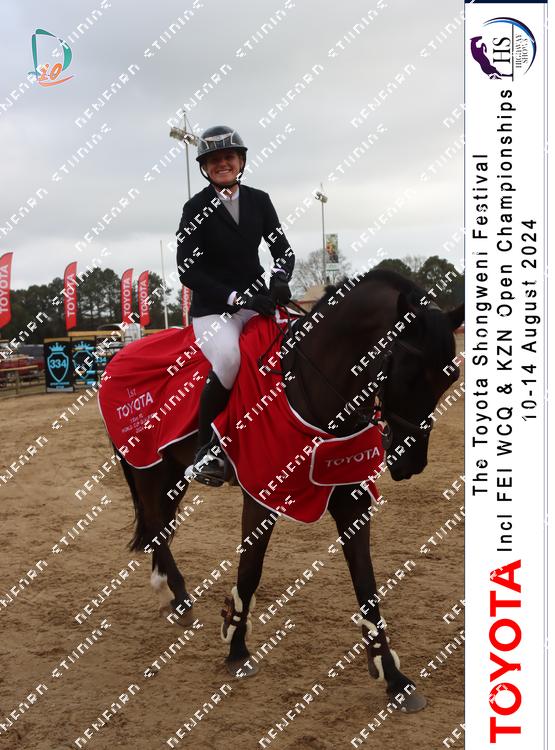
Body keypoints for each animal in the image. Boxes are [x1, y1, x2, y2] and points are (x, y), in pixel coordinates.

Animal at [106, 269, 464, 713]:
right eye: (407, 369)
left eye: (450, 377)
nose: (411, 462)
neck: (308, 387)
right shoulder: (262, 497)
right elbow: (249, 572)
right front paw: (237, 650)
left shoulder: (350, 498)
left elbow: (366, 584)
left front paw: (394, 678)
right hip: (148, 468)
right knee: (157, 523)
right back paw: (175, 594)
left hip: (171, 471)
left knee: (163, 524)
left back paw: (175, 597)